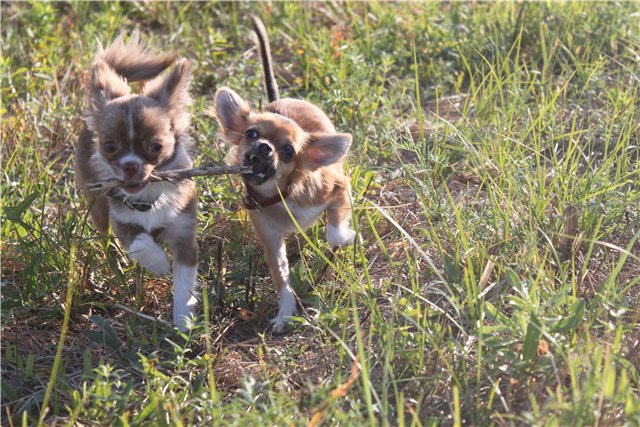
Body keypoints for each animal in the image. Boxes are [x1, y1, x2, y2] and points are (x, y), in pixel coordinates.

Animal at [75, 34, 199, 331]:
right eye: (110, 146)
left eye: (156, 147)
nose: (130, 165)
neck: (149, 198)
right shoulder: (123, 221)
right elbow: (140, 242)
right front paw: (158, 263)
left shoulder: (185, 238)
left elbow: (184, 285)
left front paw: (183, 324)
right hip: (97, 208)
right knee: (106, 239)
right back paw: (117, 264)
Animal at [212, 16, 356, 333]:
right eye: (252, 134)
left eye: (289, 151)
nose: (264, 147)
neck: (280, 196)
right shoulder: (271, 239)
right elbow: (282, 280)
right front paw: (285, 314)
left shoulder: (338, 189)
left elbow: (334, 230)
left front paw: (343, 237)